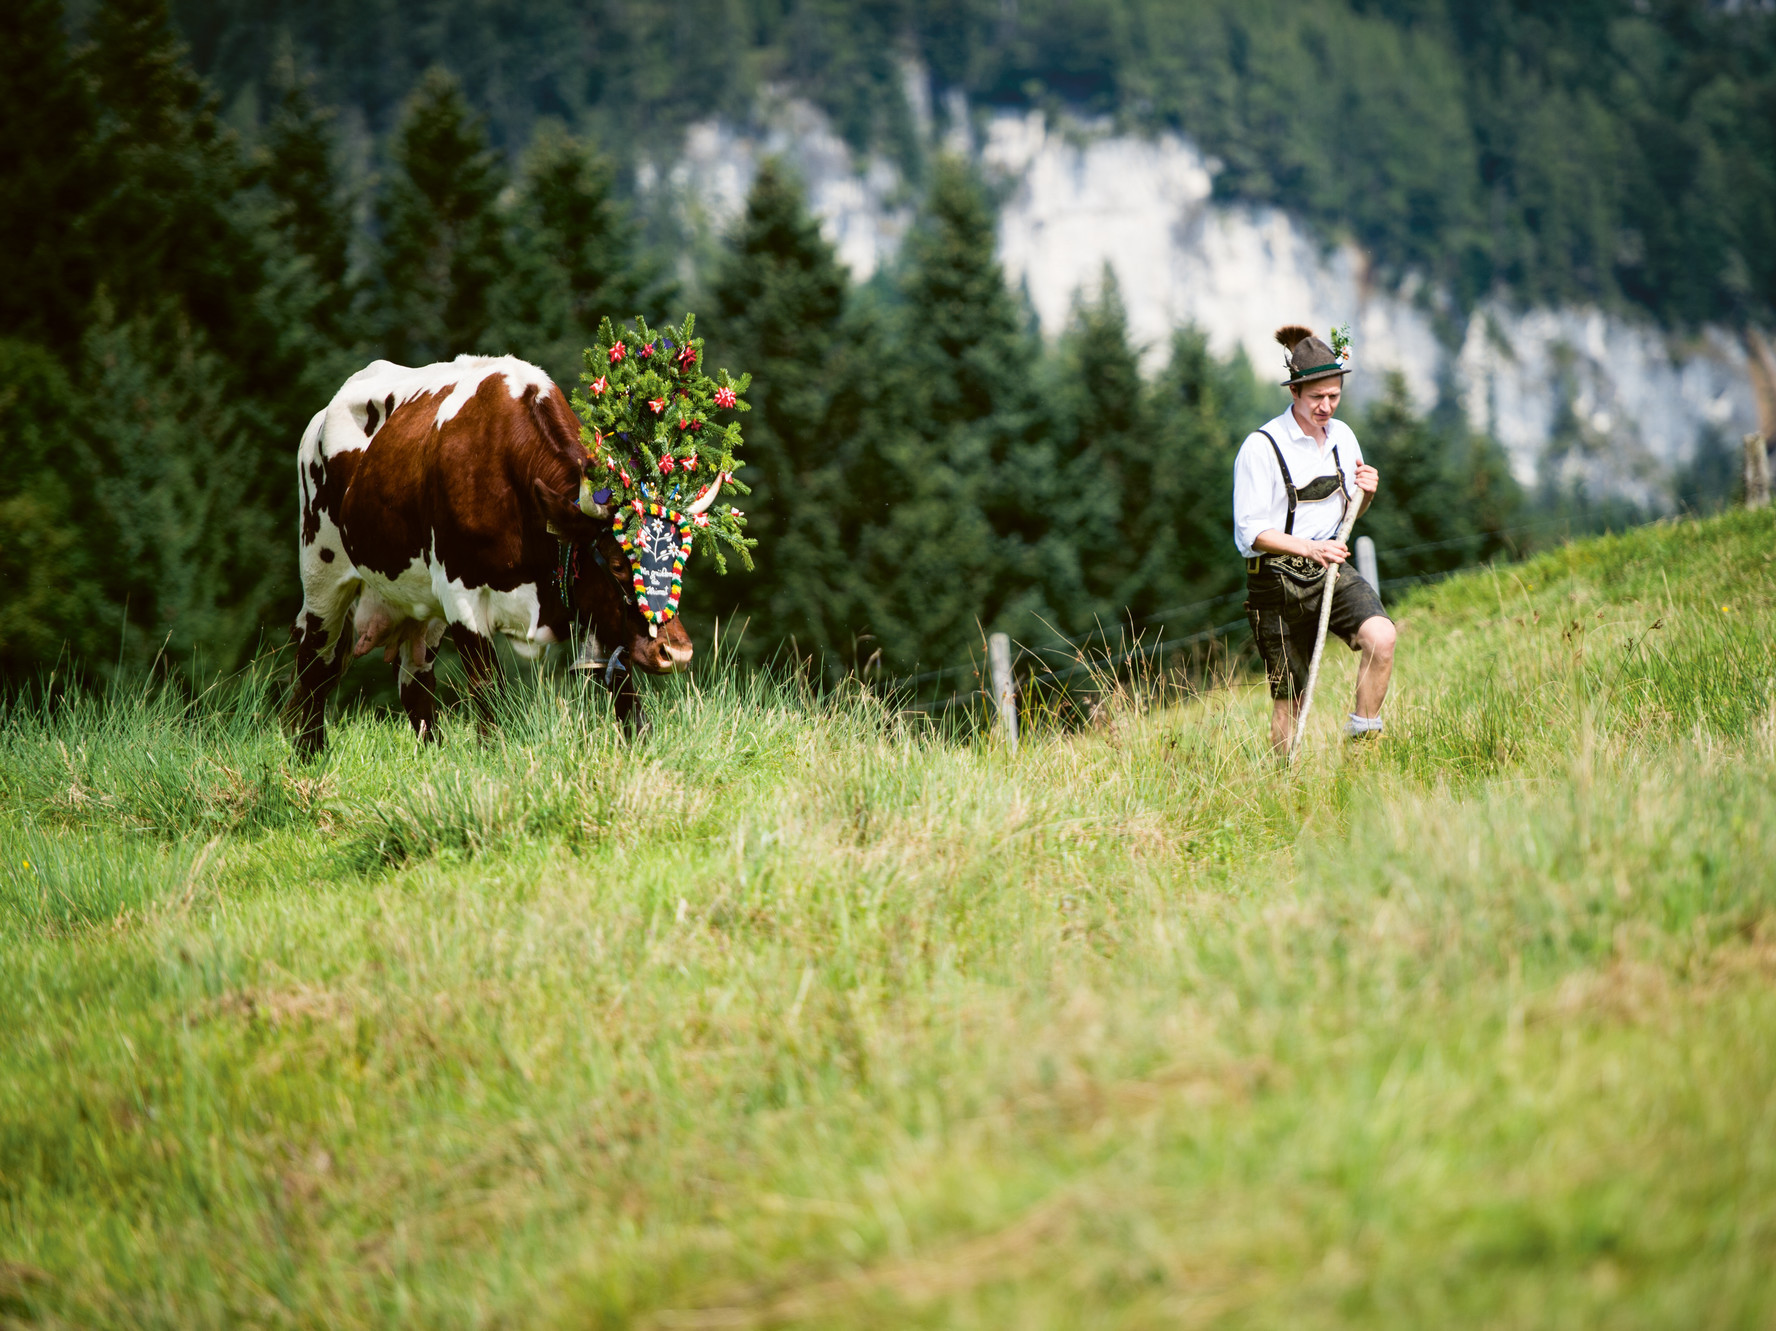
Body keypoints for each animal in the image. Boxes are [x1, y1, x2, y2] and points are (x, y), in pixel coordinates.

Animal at [284, 353, 713, 753]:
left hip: (419, 603)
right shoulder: (461, 596)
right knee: (316, 664)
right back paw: (309, 756)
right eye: (618, 563)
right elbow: (488, 692)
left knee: (414, 677)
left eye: (680, 563)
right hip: (322, 575)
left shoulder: (592, 608)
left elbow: (625, 692)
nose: (676, 653)